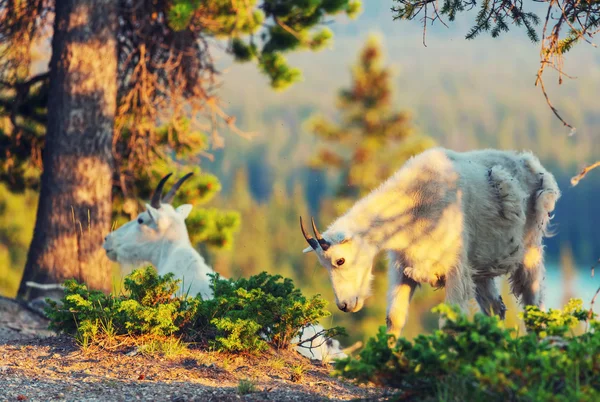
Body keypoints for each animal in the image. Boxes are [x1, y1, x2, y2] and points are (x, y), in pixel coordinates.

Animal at [302, 148, 560, 336]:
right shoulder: (404, 267)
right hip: (481, 268)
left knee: (533, 304)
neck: (415, 203)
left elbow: (448, 323)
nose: (345, 305)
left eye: (340, 260)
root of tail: (534, 166)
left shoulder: (455, 270)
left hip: (530, 251)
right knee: (496, 309)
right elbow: (394, 317)